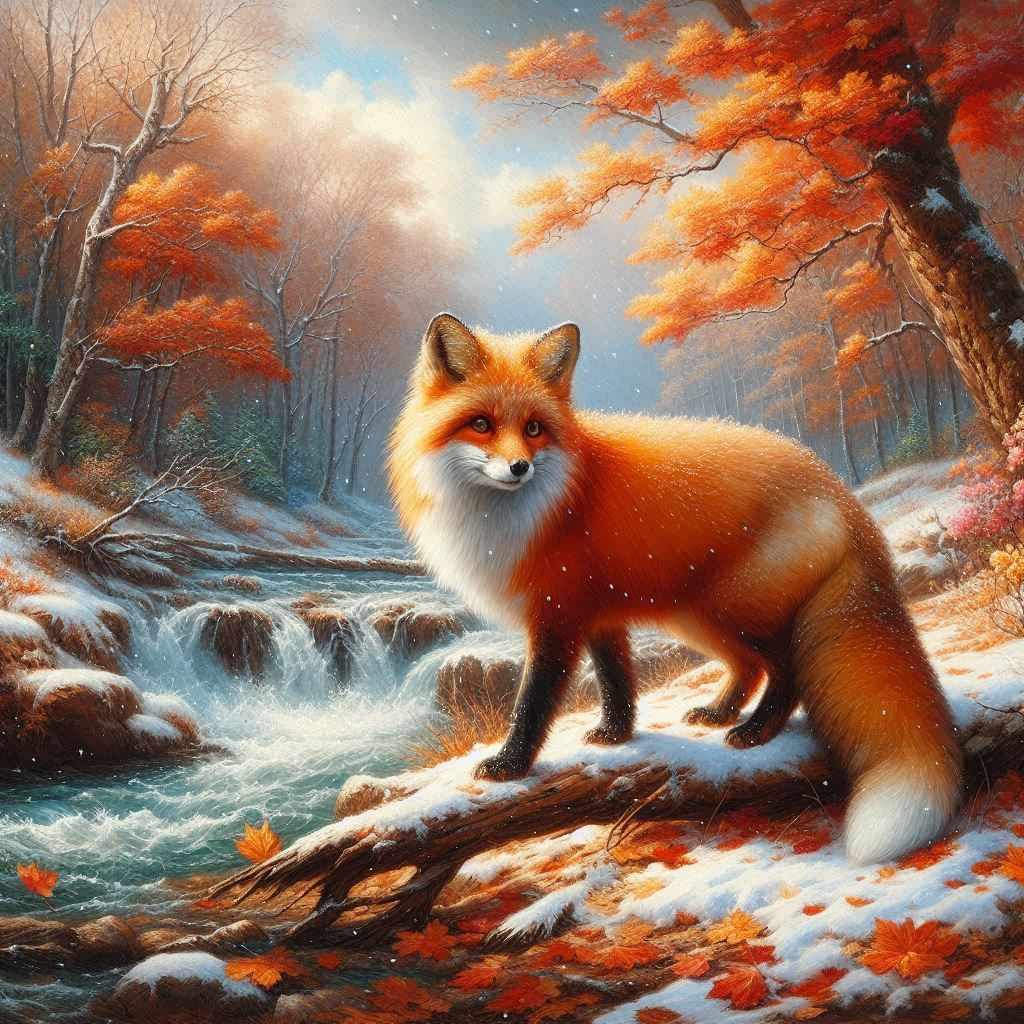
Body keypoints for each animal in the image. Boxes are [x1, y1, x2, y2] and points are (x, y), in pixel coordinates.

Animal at [387, 312, 964, 865]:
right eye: (481, 424)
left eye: (533, 428)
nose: (519, 467)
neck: (530, 514)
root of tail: (841, 492)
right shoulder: (598, 614)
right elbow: (618, 682)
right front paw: (616, 735)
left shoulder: (557, 617)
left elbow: (534, 701)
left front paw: (510, 764)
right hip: (698, 618)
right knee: (750, 668)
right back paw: (720, 712)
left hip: (732, 610)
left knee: (786, 670)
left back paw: (755, 731)